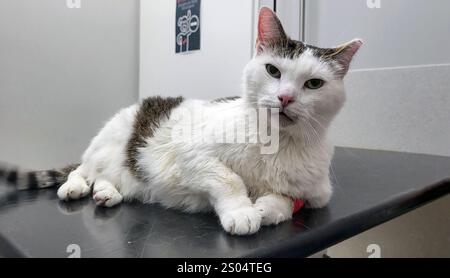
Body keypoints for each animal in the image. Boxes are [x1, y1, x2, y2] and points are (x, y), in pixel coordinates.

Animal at [0, 7, 362, 235]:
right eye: (273, 70)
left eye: (313, 84)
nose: (286, 97)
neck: (276, 144)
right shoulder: (193, 154)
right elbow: (229, 179)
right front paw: (242, 211)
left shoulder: (316, 194)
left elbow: (287, 202)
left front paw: (264, 209)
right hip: (107, 147)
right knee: (83, 170)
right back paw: (76, 186)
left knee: (106, 179)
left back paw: (106, 192)